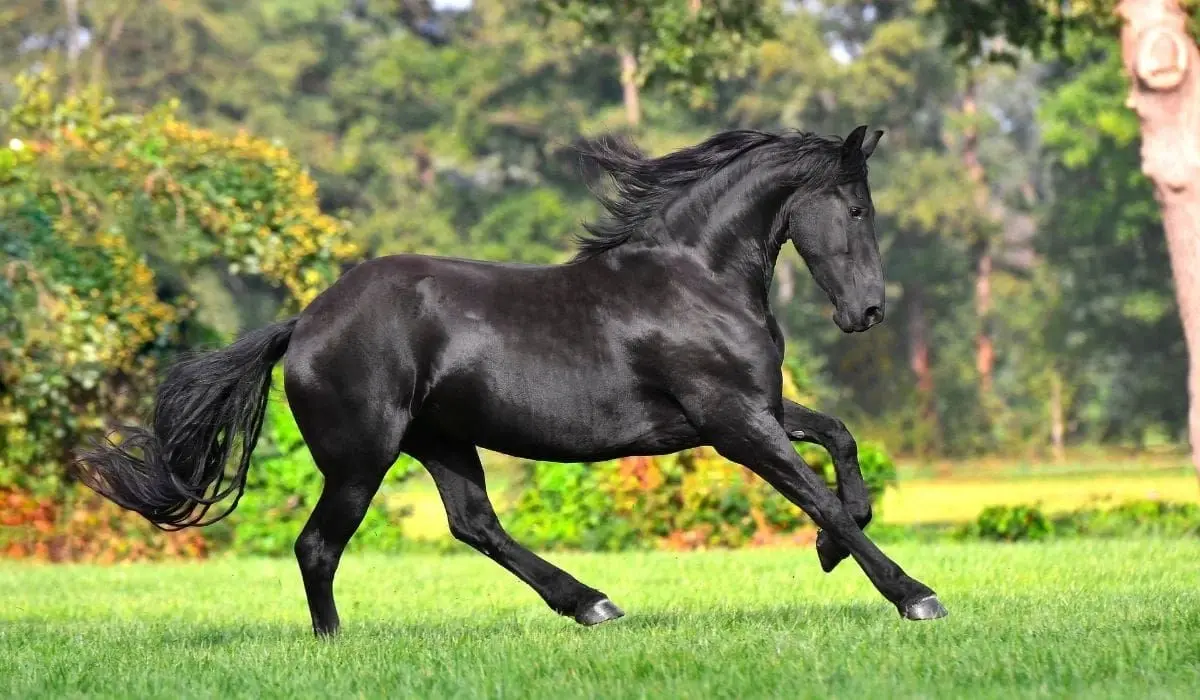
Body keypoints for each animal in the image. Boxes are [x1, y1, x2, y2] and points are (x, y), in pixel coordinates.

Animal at [77, 125, 947, 637]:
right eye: (858, 208)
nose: (868, 311)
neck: (694, 278)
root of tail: (307, 321)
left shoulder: (750, 409)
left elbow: (839, 441)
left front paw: (833, 549)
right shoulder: (732, 421)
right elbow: (815, 490)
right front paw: (912, 593)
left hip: (441, 442)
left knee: (476, 526)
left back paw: (592, 604)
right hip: (362, 459)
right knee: (319, 545)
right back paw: (335, 643)